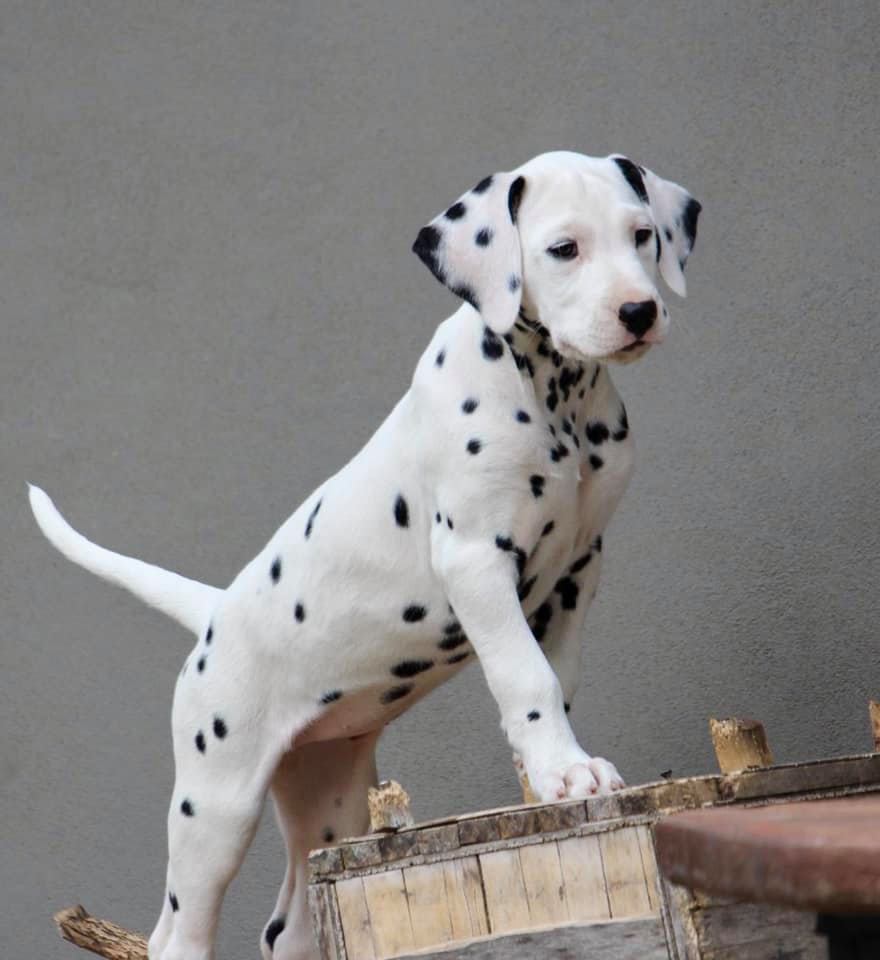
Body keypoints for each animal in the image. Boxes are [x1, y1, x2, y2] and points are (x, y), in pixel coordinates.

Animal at [29, 150, 700, 960]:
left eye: (642, 236)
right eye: (564, 248)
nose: (640, 311)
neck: (550, 395)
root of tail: (217, 613)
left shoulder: (578, 569)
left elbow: (556, 678)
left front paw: (552, 773)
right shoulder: (476, 560)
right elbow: (525, 676)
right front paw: (566, 772)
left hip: (327, 795)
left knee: (287, 928)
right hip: (214, 806)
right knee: (177, 933)